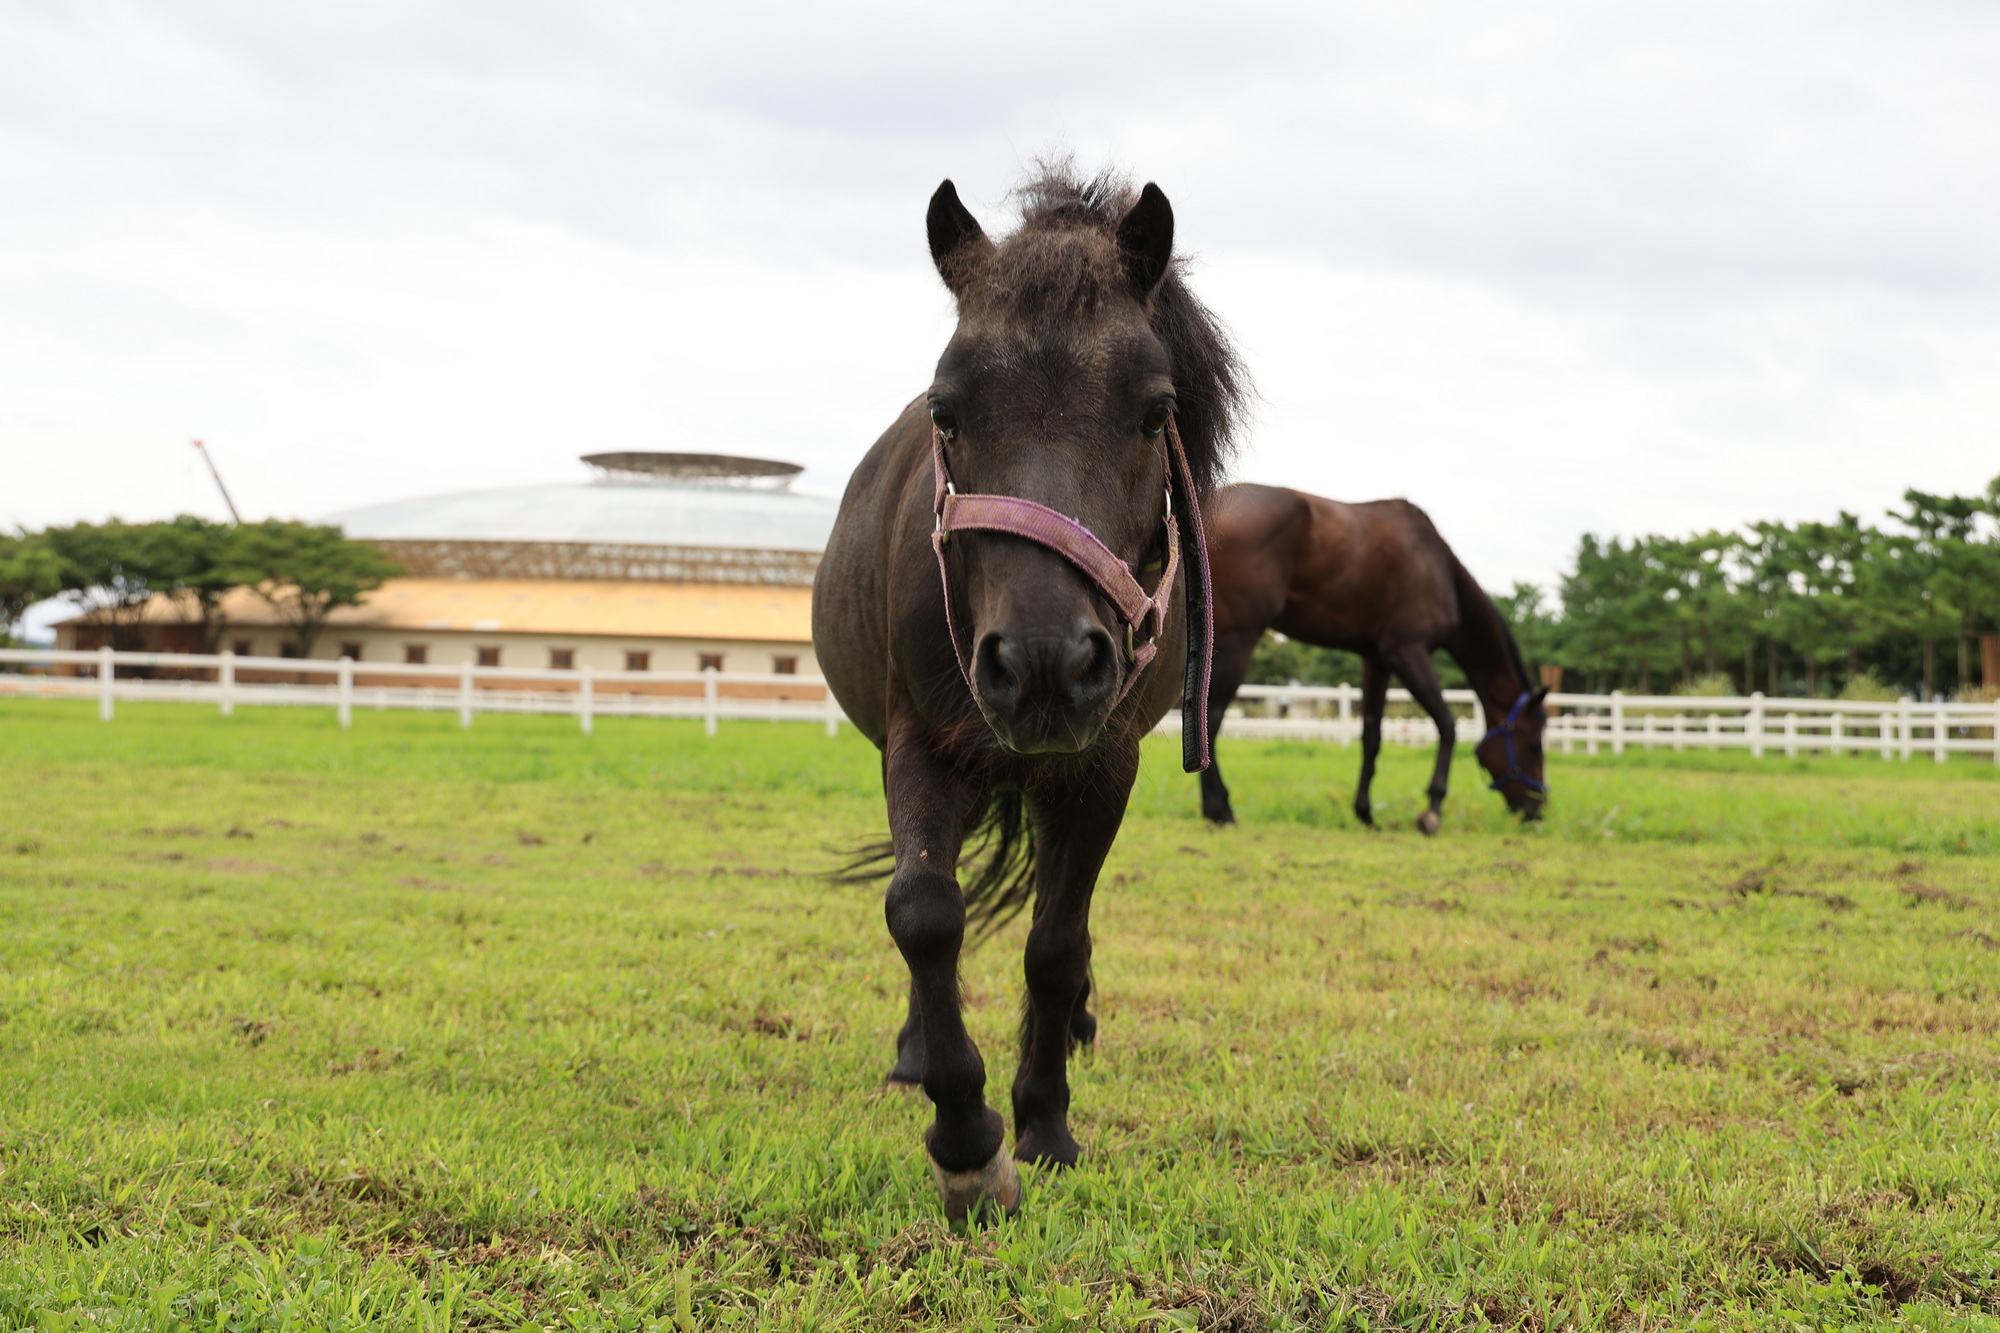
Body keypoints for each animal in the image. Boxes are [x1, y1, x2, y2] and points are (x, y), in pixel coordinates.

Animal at [1200, 478, 1544, 832]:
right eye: (1533, 746)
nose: (1537, 810)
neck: (1439, 570)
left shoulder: (1376, 662)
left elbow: (1371, 737)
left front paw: (1364, 813)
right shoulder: (1407, 652)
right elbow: (1447, 725)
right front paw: (1432, 810)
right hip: (1239, 641)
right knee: (1211, 717)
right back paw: (1220, 809)